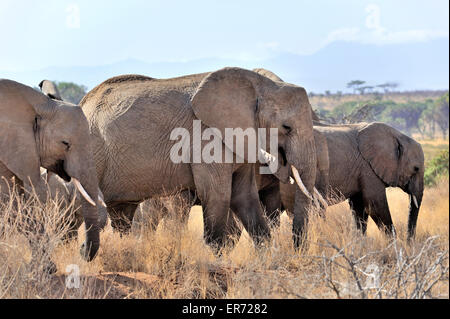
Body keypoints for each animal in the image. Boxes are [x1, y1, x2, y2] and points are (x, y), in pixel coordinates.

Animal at [0, 79, 103, 268]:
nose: (82, 249)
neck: (39, 104)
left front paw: (45, 267)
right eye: (65, 143)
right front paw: (47, 268)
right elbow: (11, 203)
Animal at [81, 67, 318, 251]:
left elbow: (244, 196)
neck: (260, 86)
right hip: (93, 150)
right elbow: (217, 195)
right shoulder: (206, 138)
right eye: (286, 127)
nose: (297, 248)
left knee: (122, 214)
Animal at [280, 122, 424, 240]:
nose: (409, 243)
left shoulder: (360, 171)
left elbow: (360, 208)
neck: (397, 136)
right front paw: (394, 245)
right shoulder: (368, 169)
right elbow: (375, 205)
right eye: (416, 169)